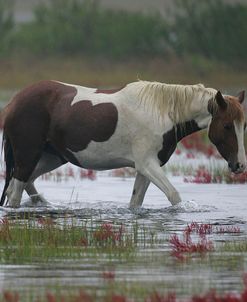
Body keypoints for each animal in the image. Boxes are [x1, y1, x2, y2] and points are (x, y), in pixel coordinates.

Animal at [0, 80, 246, 208]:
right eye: (226, 126)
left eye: (243, 125)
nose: (239, 165)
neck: (162, 113)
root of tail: (14, 103)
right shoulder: (147, 164)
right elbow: (174, 196)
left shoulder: (145, 168)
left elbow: (136, 202)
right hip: (28, 156)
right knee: (15, 192)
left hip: (51, 158)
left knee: (24, 184)